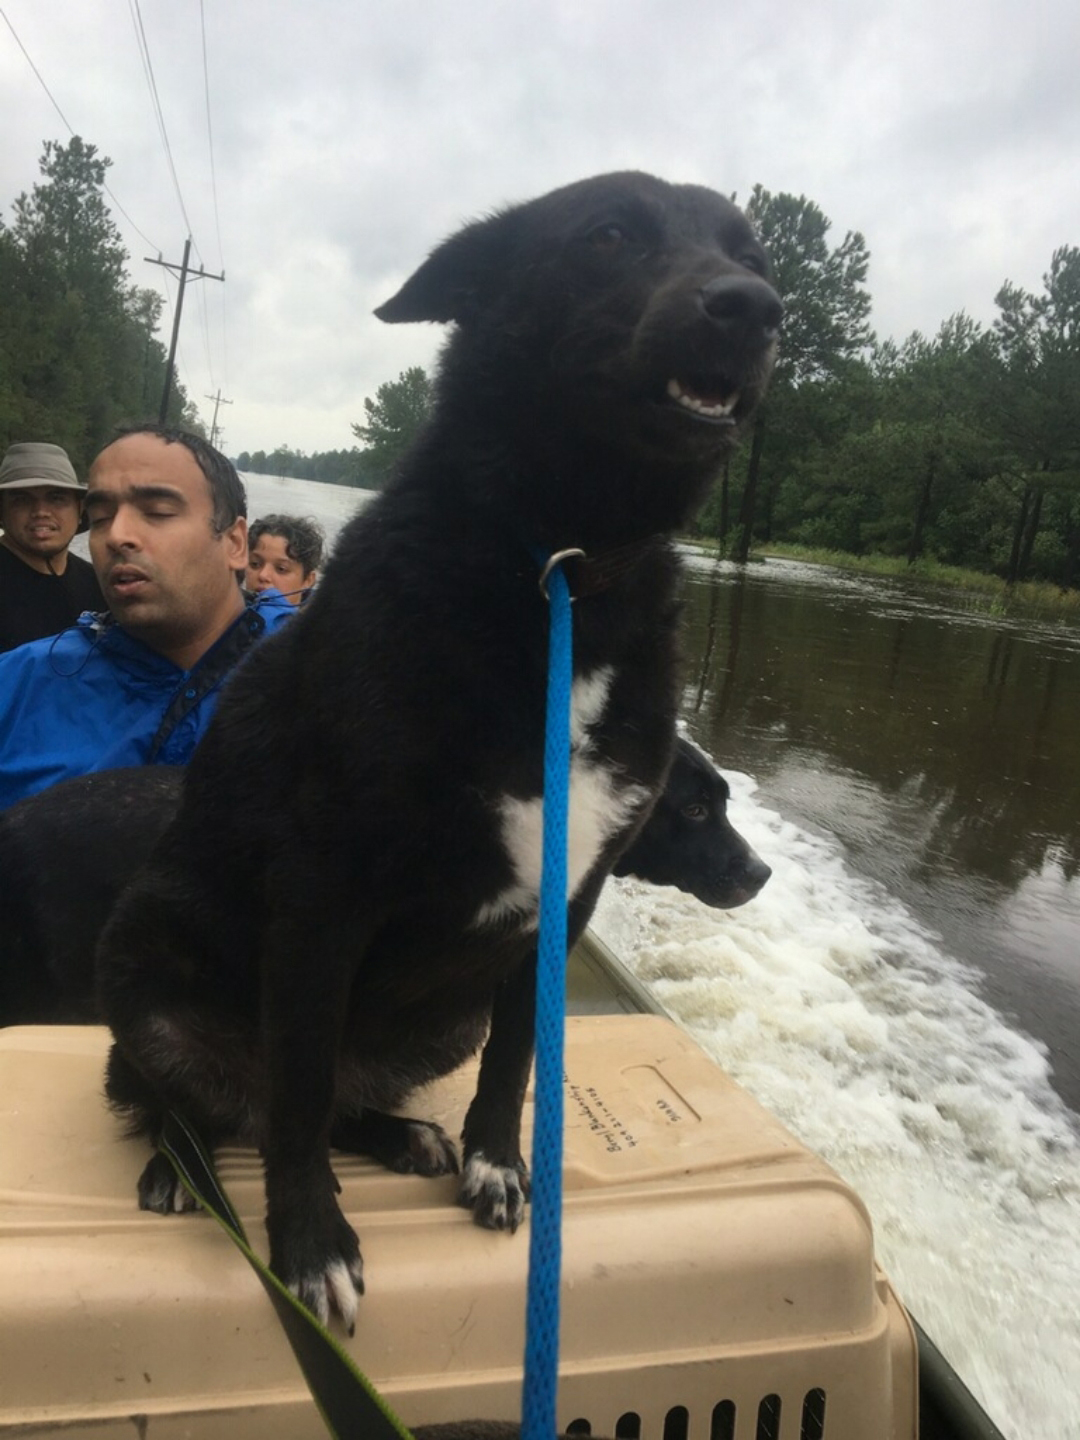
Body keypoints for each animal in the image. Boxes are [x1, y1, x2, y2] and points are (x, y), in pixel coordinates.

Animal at [95, 174, 777, 1330]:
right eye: (610, 235)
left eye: (751, 251)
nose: (757, 307)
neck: (563, 575)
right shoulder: (321, 897)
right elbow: (298, 1095)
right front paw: (309, 1240)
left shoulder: (559, 912)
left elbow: (513, 1061)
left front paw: (497, 1163)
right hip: (143, 971)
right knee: (210, 1101)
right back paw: (179, 1167)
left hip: (441, 1009)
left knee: (336, 1099)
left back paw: (404, 1134)